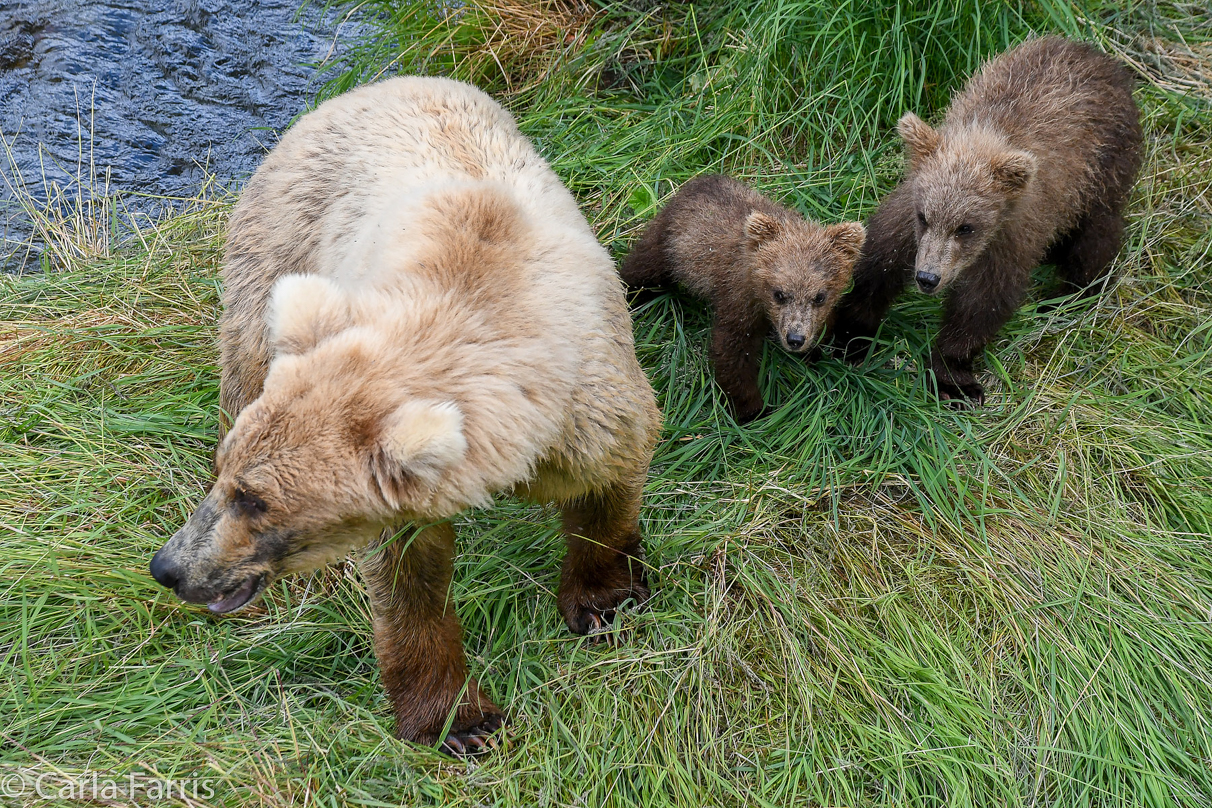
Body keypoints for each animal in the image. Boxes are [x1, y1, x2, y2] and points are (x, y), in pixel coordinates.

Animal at [155, 75, 664, 760]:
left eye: (254, 500)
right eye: (225, 478)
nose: (170, 567)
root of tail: (365, 87)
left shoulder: (592, 397)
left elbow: (607, 486)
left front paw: (604, 601)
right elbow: (408, 585)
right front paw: (459, 721)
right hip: (277, 252)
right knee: (245, 365)